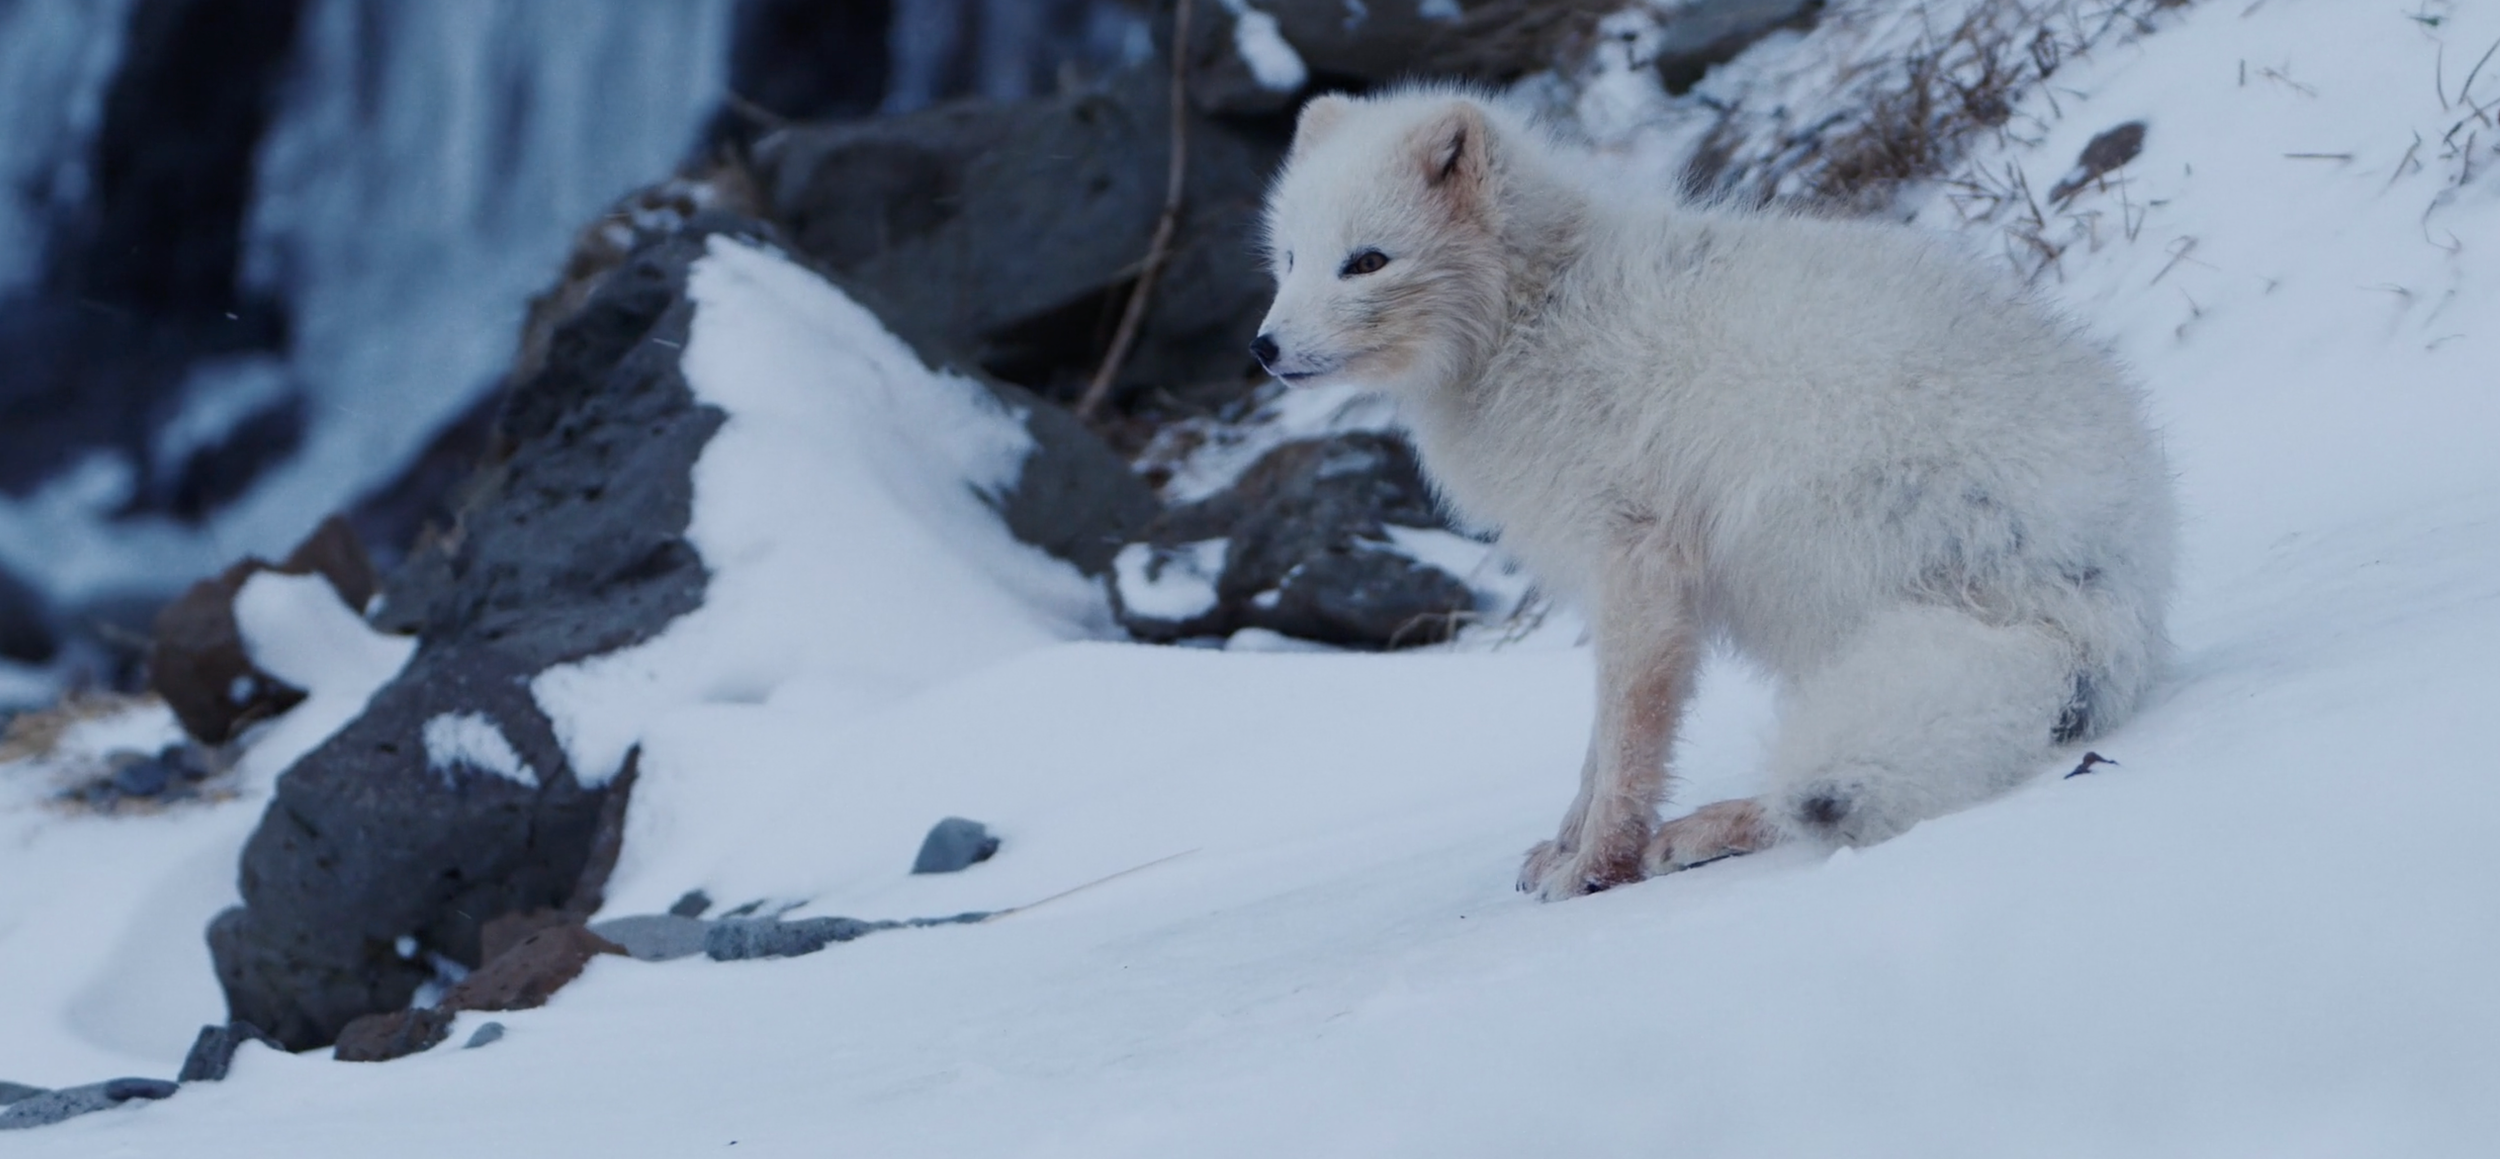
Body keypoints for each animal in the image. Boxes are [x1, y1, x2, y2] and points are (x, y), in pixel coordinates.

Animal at [1250, 87, 2177, 900]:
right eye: (1290, 258)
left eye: (1366, 262)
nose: (1264, 347)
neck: (1536, 312)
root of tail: (2109, 608)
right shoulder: (1605, 574)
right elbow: (1595, 745)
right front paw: (1564, 846)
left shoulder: (1636, 559)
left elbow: (1625, 735)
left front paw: (1597, 866)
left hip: (1803, 547)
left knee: (1809, 787)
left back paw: (1716, 826)